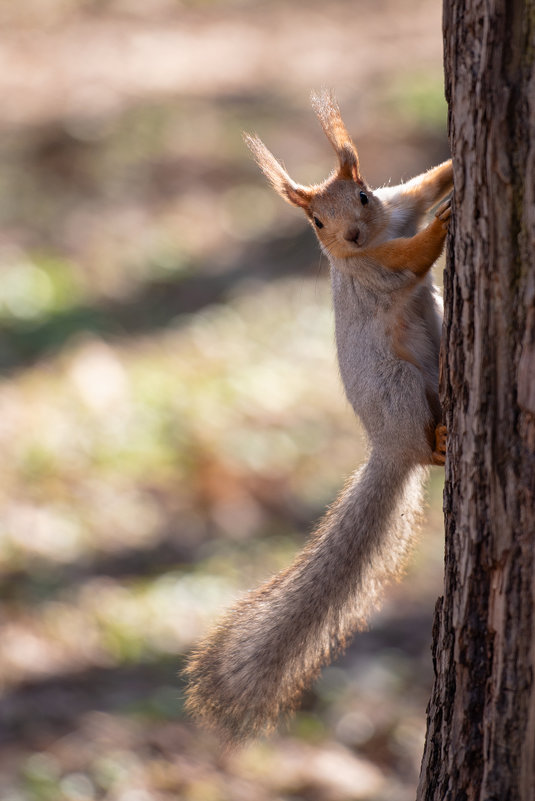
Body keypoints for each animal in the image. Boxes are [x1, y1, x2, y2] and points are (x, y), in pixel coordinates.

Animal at [184, 90, 452, 748]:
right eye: (316, 224)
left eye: (362, 196)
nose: (351, 235)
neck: (376, 234)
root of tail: (387, 447)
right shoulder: (370, 269)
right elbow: (409, 260)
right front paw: (444, 224)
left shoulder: (398, 202)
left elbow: (424, 185)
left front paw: (455, 173)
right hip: (400, 390)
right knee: (424, 444)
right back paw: (438, 439)